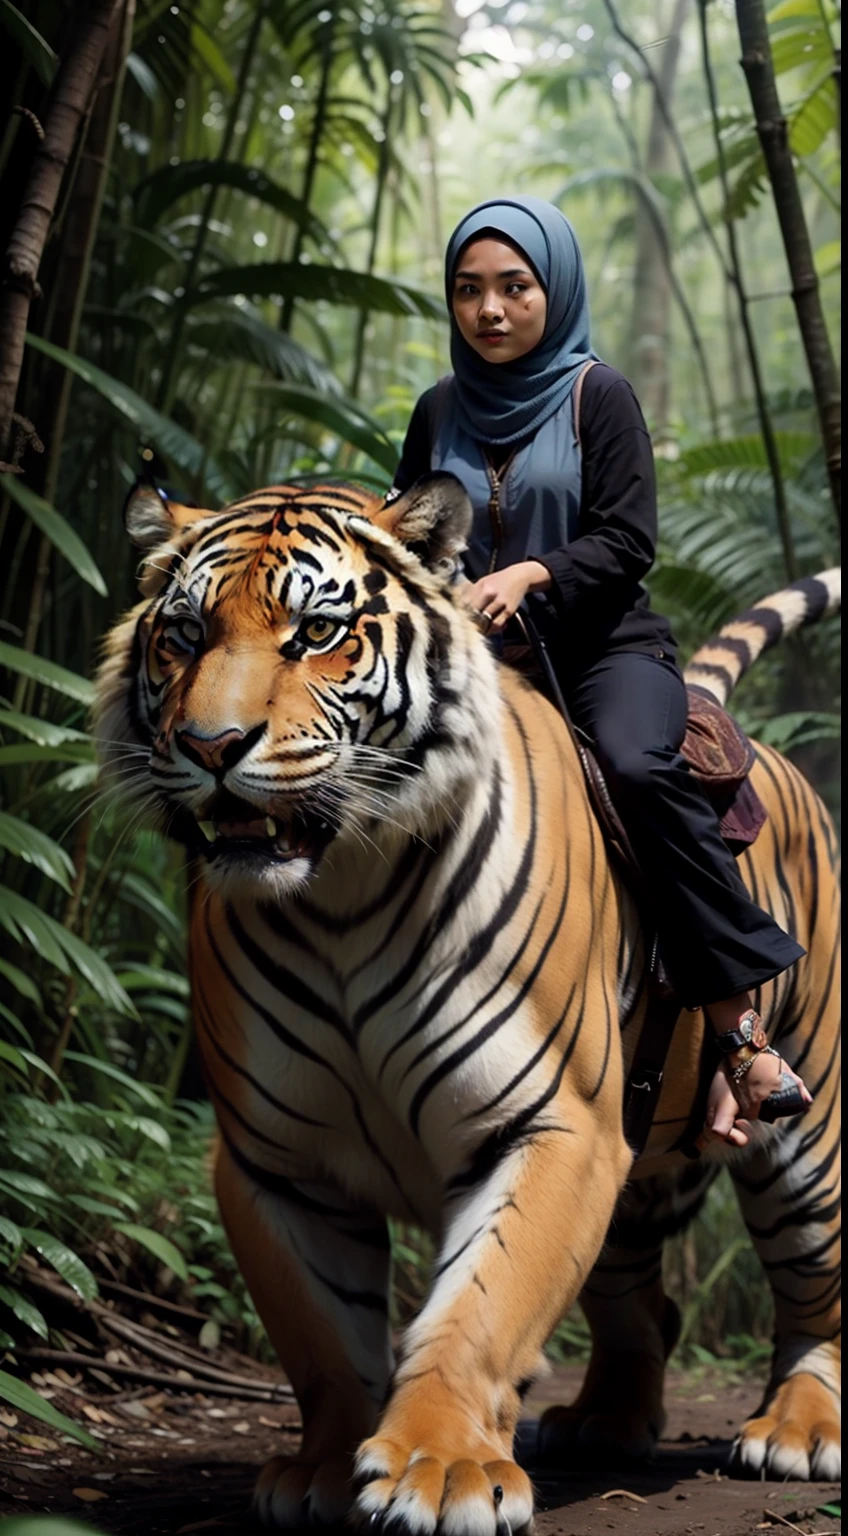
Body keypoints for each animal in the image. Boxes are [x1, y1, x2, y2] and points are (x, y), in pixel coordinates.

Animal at [96, 473, 835, 1529]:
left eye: (317, 632)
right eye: (185, 635)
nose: (210, 745)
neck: (338, 896)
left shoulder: (553, 1123)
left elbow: (481, 1305)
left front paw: (439, 1469)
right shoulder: (273, 1160)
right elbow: (323, 1333)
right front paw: (324, 1471)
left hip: (806, 1126)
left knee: (815, 1283)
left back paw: (799, 1431)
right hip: (638, 1144)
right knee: (637, 1300)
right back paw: (605, 1422)